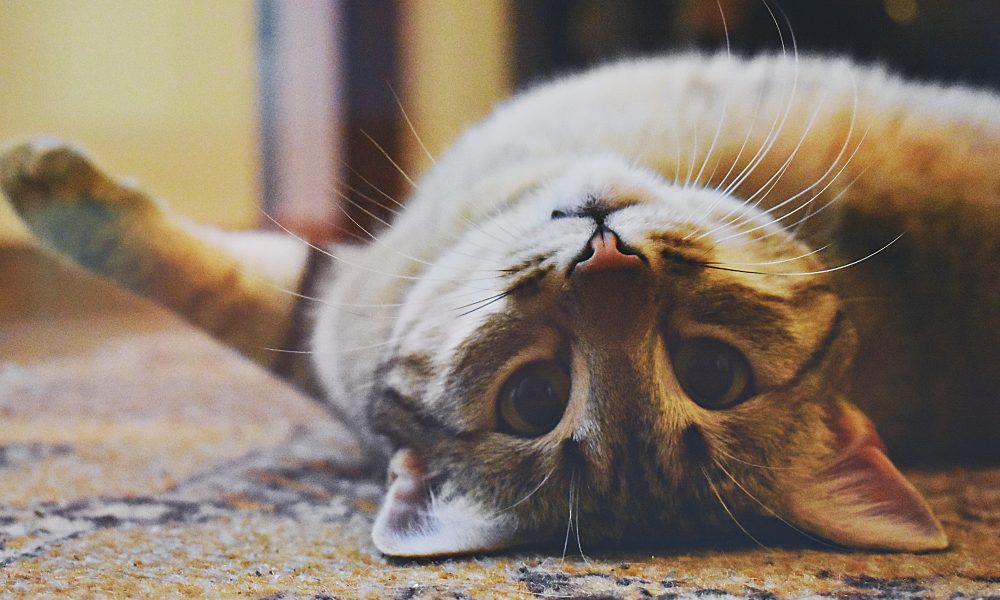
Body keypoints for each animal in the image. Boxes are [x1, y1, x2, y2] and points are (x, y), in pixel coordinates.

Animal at [1, 52, 1000, 556]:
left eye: (711, 372)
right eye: (534, 399)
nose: (605, 258)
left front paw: (37, 174)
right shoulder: (329, 308)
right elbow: (221, 286)